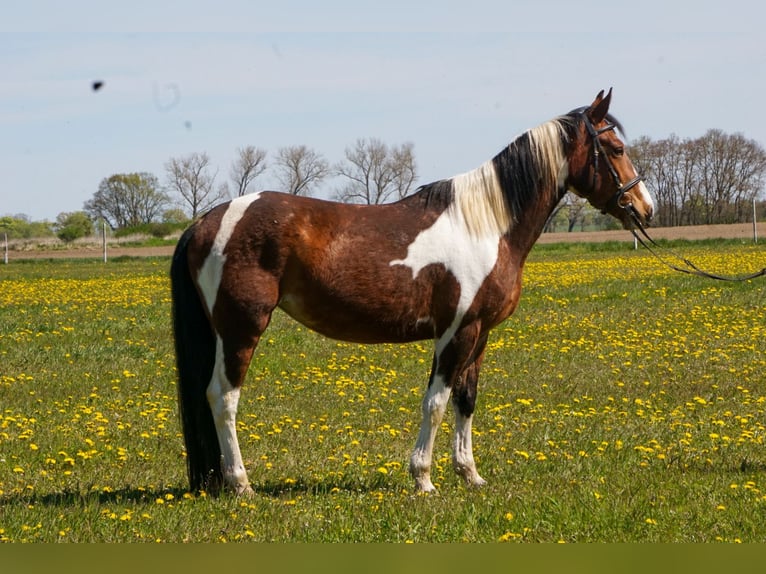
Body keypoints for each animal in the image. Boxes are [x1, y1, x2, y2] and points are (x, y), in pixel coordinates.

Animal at [170, 89, 654, 495]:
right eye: (616, 149)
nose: (645, 208)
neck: (485, 225)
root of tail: (205, 221)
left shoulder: (480, 333)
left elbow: (466, 401)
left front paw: (470, 474)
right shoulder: (455, 332)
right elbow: (436, 403)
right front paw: (423, 479)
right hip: (241, 329)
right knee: (223, 397)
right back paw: (241, 484)